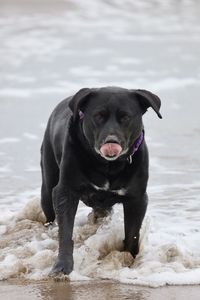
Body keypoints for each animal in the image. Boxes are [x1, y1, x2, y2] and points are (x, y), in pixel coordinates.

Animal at [41, 85, 162, 276]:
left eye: (125, 117)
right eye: (98, 116)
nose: (111, 141)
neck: (108, 166)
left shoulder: (137, 198)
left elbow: (132, 234)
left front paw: (128, 260)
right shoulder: (65, 192)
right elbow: (65, 232)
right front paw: (62, 265)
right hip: (47, 185)